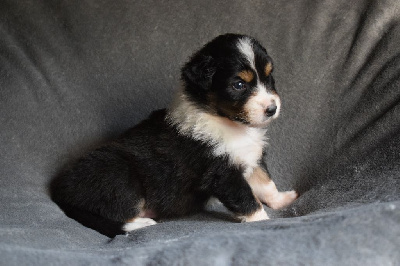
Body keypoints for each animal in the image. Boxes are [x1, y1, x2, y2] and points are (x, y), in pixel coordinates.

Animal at [50, 32, 296, 237]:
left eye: (269, 76)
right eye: (238, 84)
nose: (272, 109)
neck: (229, 123)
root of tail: (60, 192)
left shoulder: (251, 158)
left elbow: (266, 184)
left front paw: (284, 199)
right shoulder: (222, 174)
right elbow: (248, 200)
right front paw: (264, 221)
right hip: (119, 176)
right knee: (114, 213)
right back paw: (141, 224)